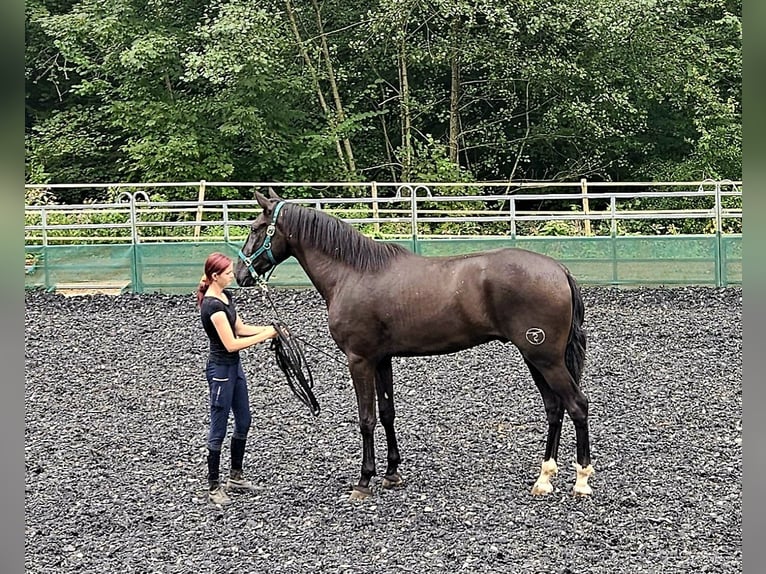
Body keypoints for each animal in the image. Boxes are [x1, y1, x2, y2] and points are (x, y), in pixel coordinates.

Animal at [237, 190, 596, 500]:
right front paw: (392, 473)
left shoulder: (359, 359)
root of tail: (559, 270)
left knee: (577, 405)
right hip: (536, 358)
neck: (353, 273)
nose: (241, 274)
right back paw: (544, 479)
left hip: (545, 357)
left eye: (255, 228)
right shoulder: (381, 359)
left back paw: (581, 481)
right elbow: (387, 413)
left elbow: (366, 418)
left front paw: (364, 480)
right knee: (554, 408)